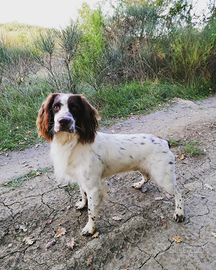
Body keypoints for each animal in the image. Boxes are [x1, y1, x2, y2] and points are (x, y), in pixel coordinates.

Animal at [36, 93, 184, 234]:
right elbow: (83, 194)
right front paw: (82, 204)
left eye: (75, 108)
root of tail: (164, 141)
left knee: (178, 192)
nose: (64, 121)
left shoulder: (94, 188)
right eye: (56, 107)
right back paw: (139, 185)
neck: (72, 144)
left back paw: (179, 213)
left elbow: (91, 212)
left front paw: (90, 229)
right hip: (143, 167)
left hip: (163, 177)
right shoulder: (81, 180)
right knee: (147, 177)